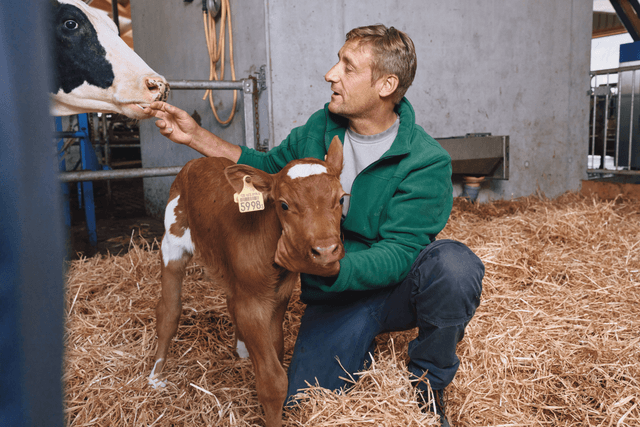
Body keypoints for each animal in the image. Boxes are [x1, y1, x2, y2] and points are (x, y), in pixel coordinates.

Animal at [150, 137, 348, 427]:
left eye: (341, 198)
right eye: (283, 204)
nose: (326, 250)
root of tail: (197, 161)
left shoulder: (278, 297)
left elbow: (277, 351)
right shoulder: (251, 305)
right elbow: (273, 381)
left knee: (229, 300)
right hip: (173, 239)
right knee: (169, 310)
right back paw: (155, 375)